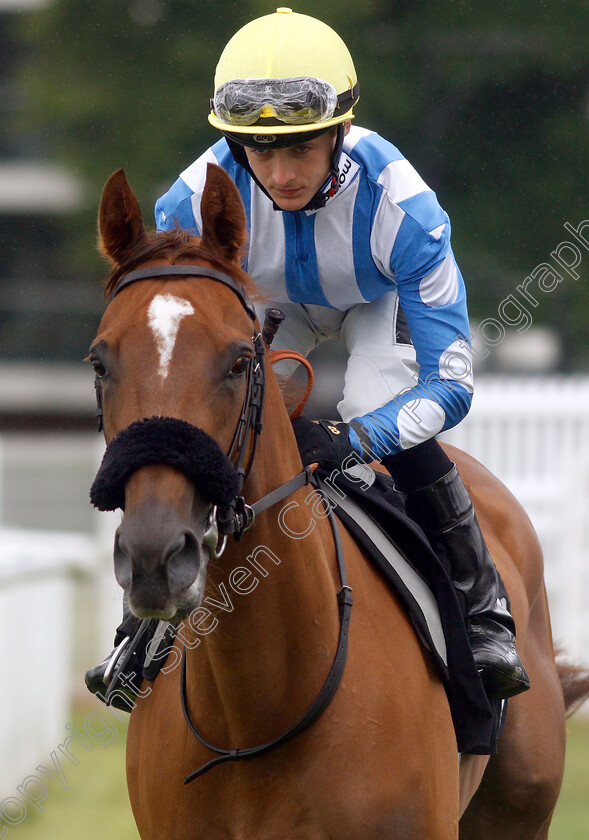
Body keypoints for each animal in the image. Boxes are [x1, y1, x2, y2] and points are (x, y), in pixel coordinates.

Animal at [90, 166, 588, 840]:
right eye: (99, 362)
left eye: (239, 361)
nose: (154, 556)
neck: (258, 708)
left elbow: (443, 384)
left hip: (519, 809)